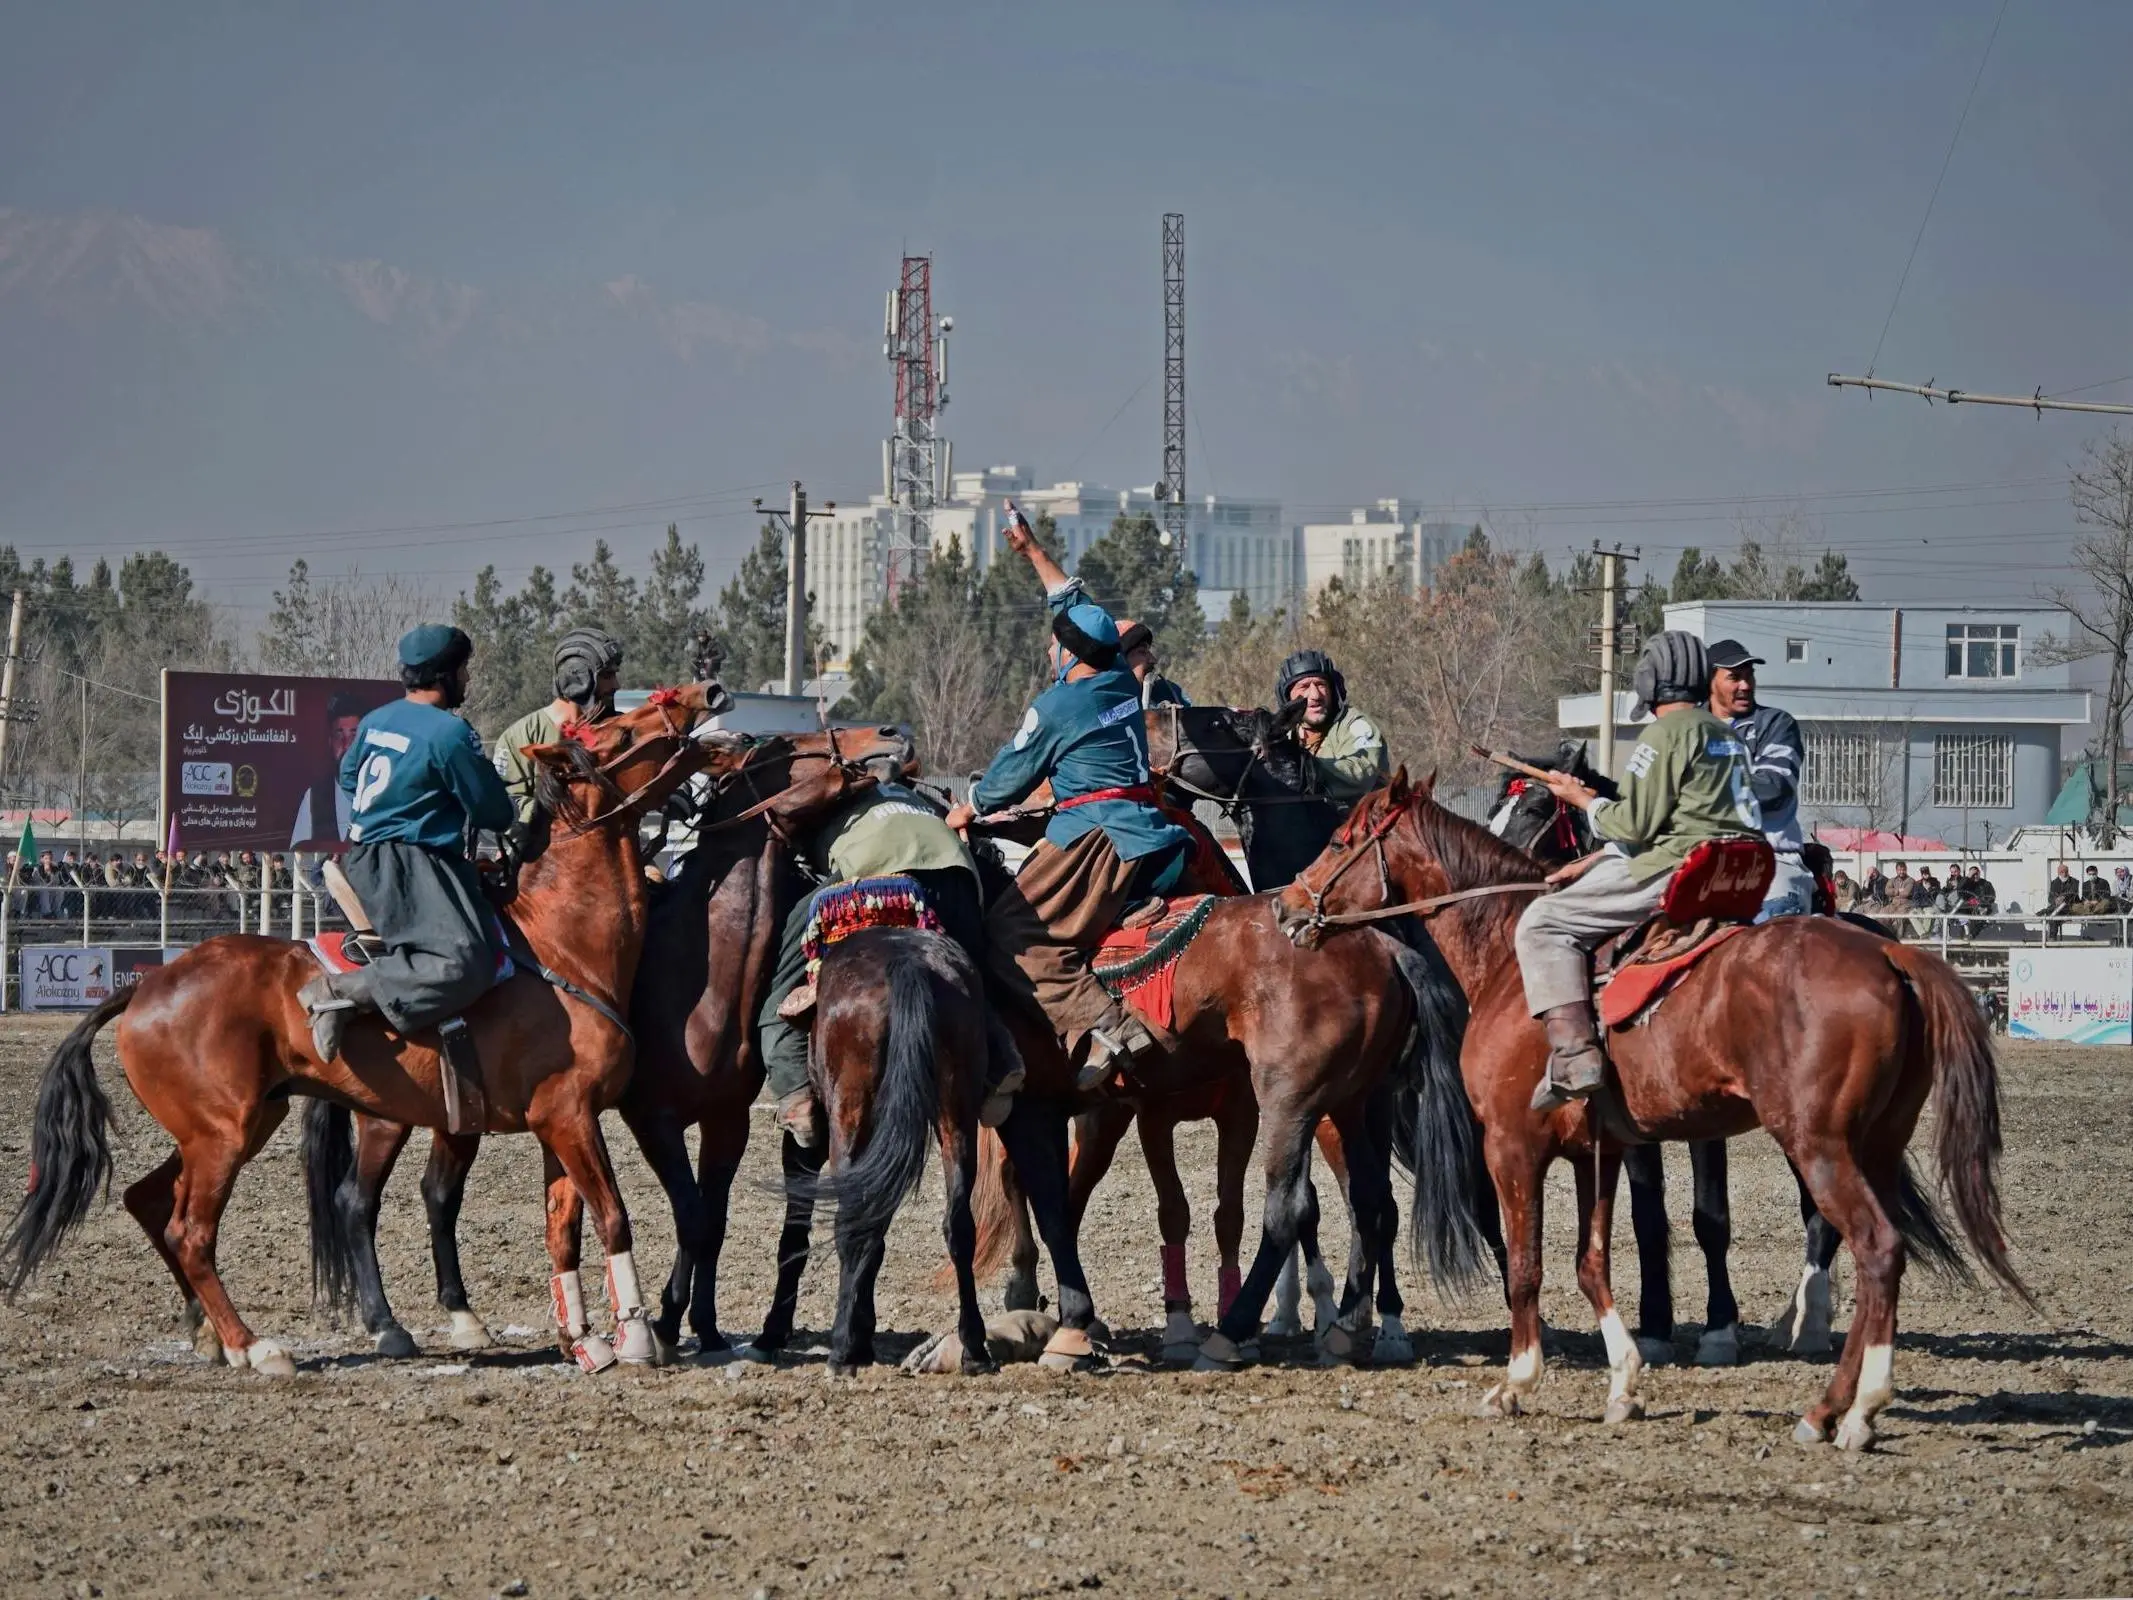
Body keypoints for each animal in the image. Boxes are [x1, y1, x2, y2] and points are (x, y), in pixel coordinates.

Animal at [4, 682, 729, 1373]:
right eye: (623, 733)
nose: (705, 696)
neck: (559, 943)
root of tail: (147, 987)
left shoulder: (563, 1122)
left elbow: (564, 1228)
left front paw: (583, 1340)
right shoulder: (568, 1116)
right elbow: (612, 1217)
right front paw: (636, 1338)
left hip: (235, 1126)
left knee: (149, 1200)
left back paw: (212, 1333)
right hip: (226, 1135)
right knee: (193, 1231)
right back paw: (256, 1346)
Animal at [305, 729, 904, 1365]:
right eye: (789, 743)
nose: (887, 737)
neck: (701, 976)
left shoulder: (726, 1119)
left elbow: (710, 1220)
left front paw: (705, 1327)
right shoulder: (650, 1117)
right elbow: (689, 1214)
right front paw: (664, 1323)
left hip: (457, 1113)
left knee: (438, 1194)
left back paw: (464, 1317)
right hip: (386, 1117)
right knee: (357, 1201)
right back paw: (389, 1324)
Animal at [1279, 776, 2030, 1450]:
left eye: (1340, 839)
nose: (1286, 907)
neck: (1512, 958)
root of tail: (1891, 952)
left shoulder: (1512, 1147)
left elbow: (1525, 1265)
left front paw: (1515, 1382)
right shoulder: (1600, 1152)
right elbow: (1592, 1261)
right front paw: (1624, 1382)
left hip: (1819, 1145)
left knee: (1874, 1246)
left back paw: (1847, 1406)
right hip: (1872, 1146)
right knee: (1878, 1255)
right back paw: (1836, 1402)